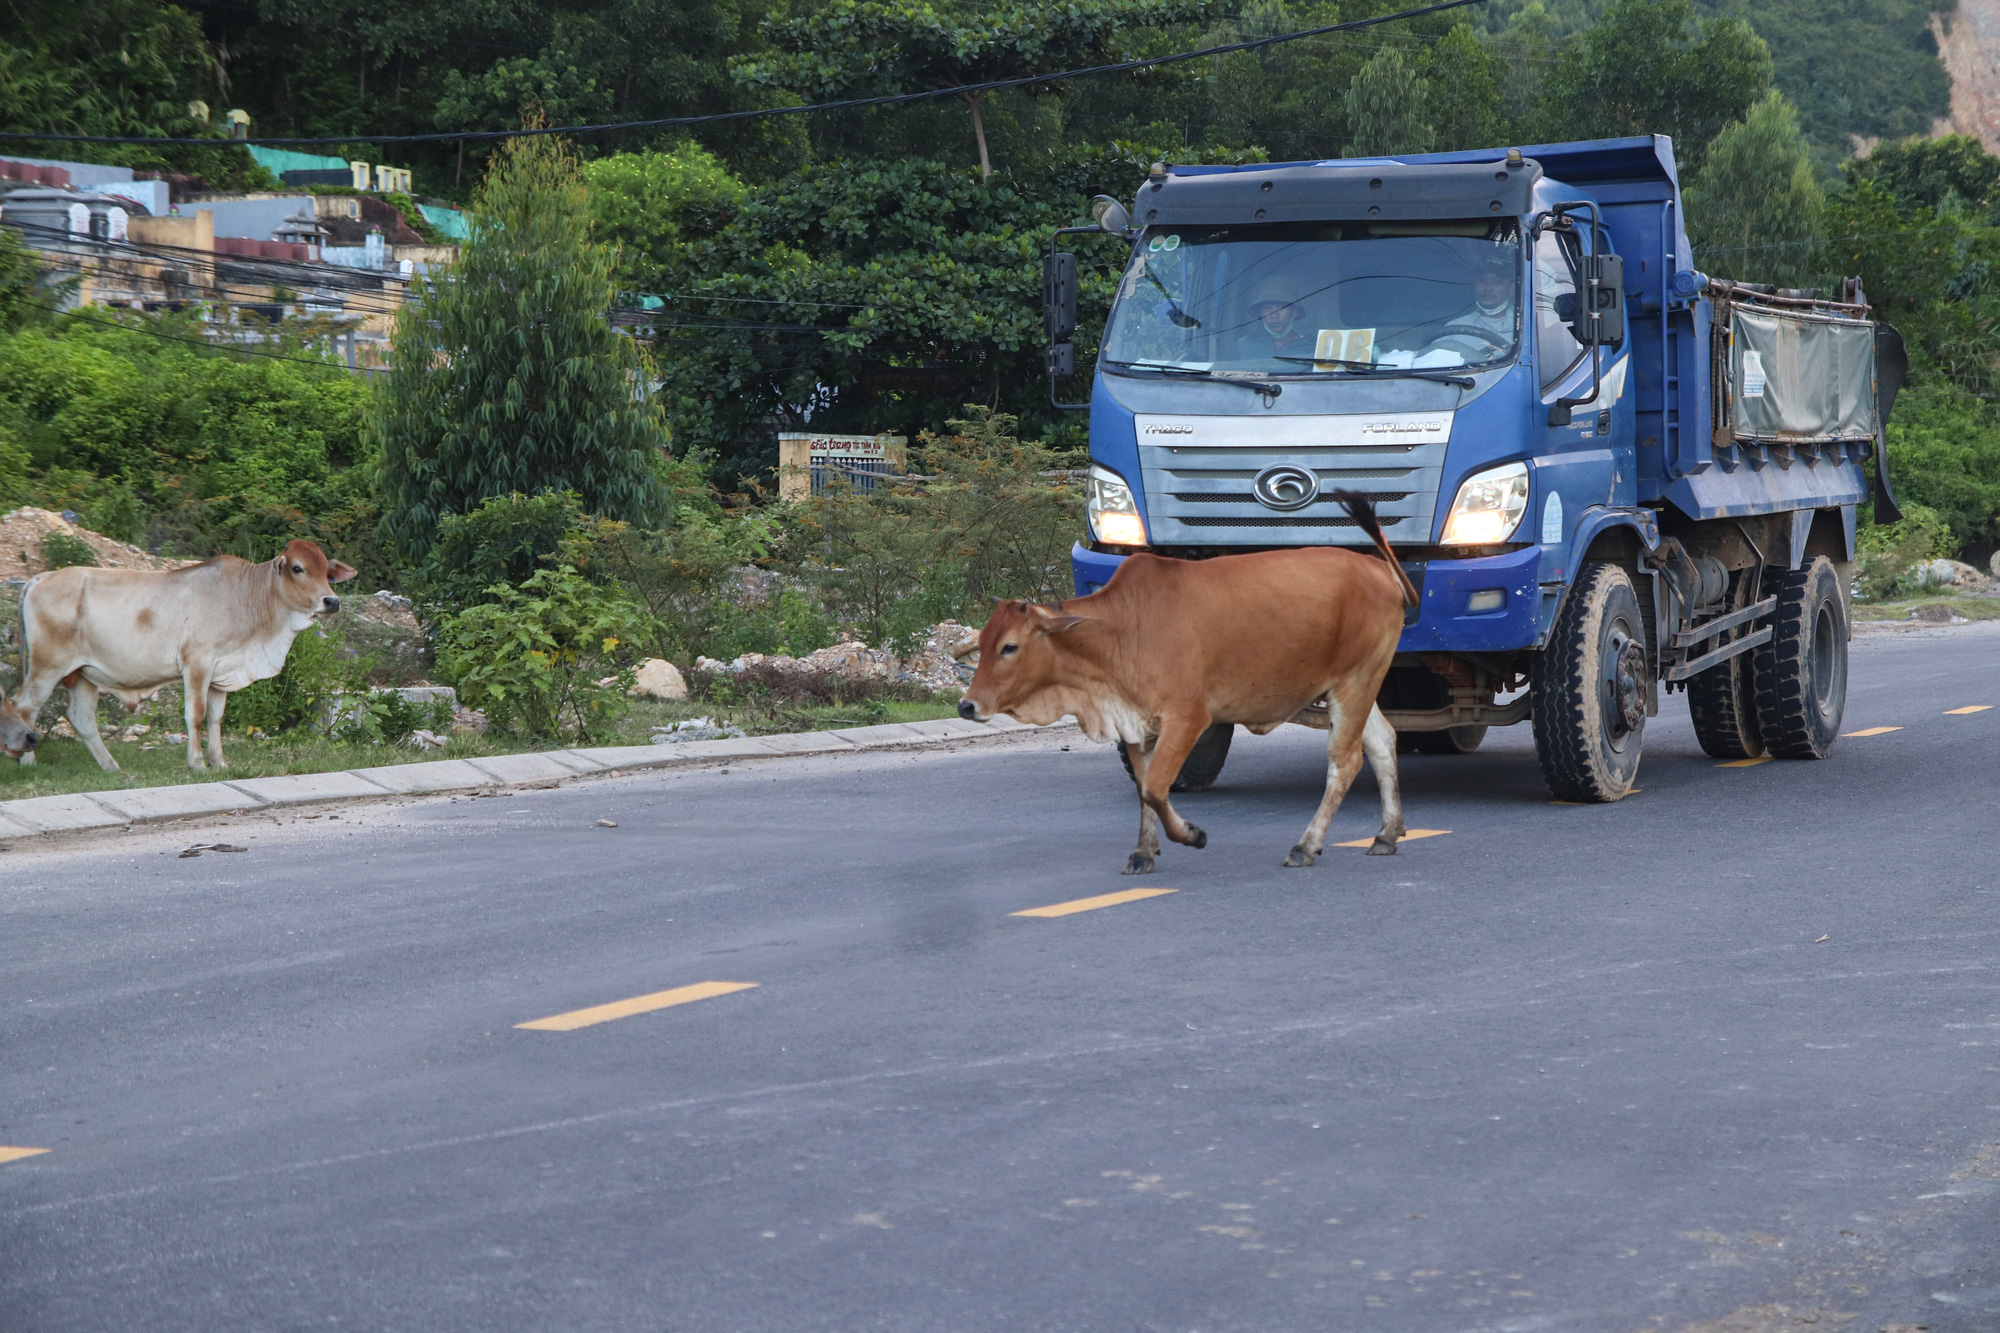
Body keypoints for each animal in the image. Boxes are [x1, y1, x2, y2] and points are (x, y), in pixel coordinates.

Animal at [13, 536, 358, 768]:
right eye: (298, 568)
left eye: (327, 572)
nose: (332, 601)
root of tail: (40, 577)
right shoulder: (197, 665)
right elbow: (195, 715)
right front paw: (197, 763)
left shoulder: (221, 673)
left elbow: (216, 719)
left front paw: (220, 762)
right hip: (46, 667)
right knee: (26, 708)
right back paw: (28, 761)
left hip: (83, 674)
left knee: (81, 718)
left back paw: (112, 767)